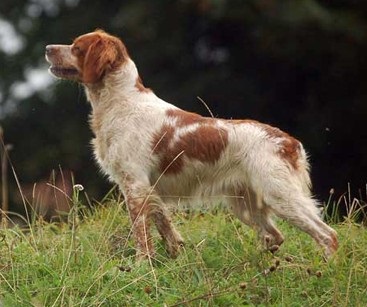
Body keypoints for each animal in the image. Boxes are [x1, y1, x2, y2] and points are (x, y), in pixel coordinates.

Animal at [46, 29, 340, 260]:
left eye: (76, 47)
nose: (48, 48)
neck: (122, 101)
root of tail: (290, 142)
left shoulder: (135, 185)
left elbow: (142, 234)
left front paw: (141, 266)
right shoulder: (148, 189)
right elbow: (165, 226)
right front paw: (174, 255)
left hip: (280, 196)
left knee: (327, 235)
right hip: (245, 205)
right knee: (275, 237)